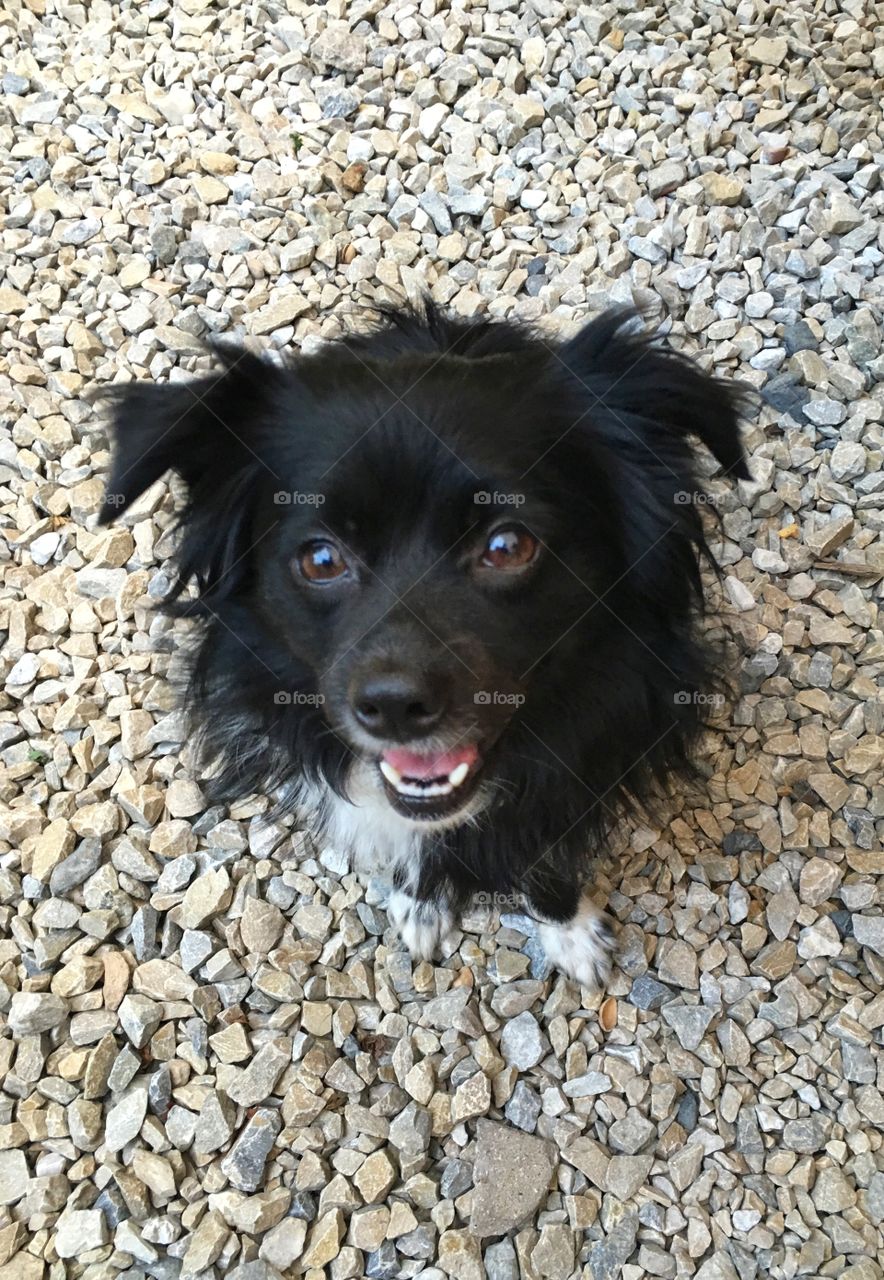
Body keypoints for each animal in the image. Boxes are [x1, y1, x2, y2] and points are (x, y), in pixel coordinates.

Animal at [100, 302, 752, 988]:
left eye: (508, 545)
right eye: (320, 558)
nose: (393, 706)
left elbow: (543, 860)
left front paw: (570, 932)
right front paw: (422, 899)